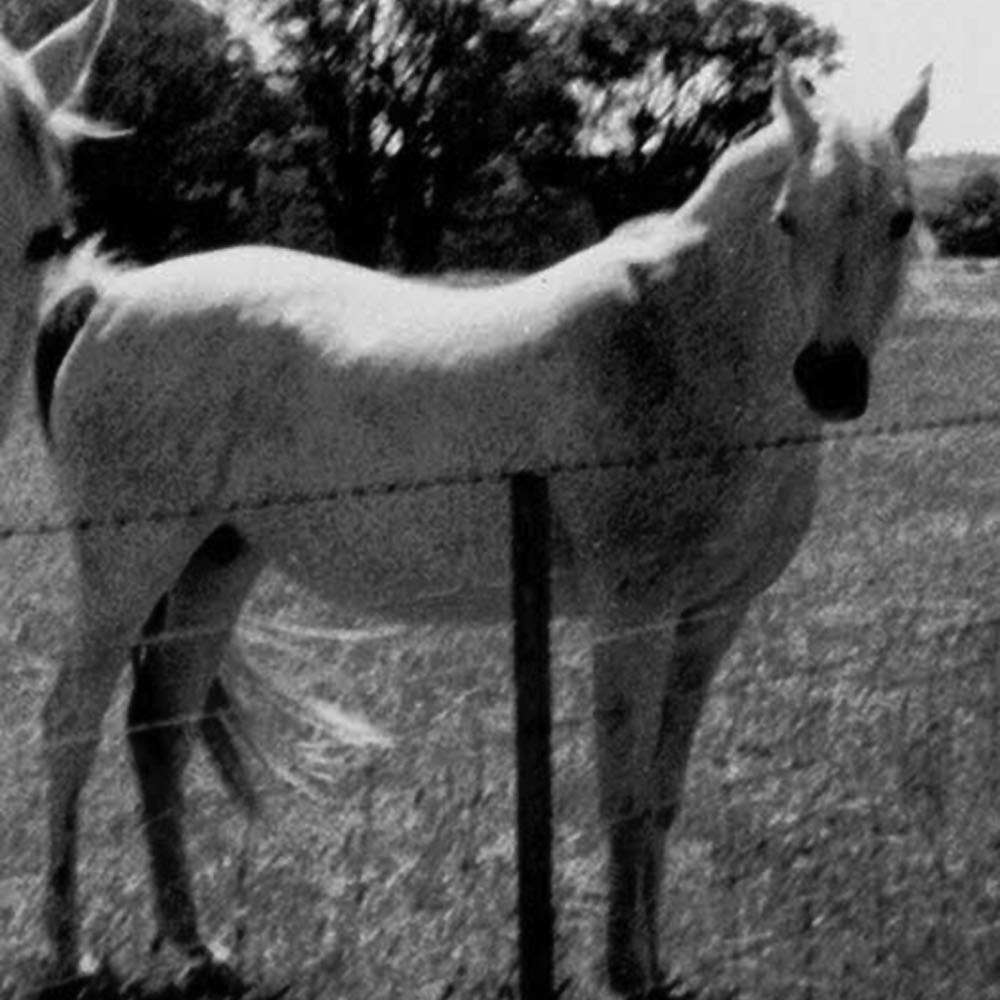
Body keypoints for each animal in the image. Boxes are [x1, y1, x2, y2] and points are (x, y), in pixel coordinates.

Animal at [28, 63, 929, 996]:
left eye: (899, 217)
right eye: (789, 218)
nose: (831, 377)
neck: (680, 342)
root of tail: (108, 298)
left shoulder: (711, 621)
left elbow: (662, 796)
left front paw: (653, 962)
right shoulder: (632, 614)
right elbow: (623, 790)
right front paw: (623, 968)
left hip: (215, 564)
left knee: (159, 732)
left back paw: (196, 946)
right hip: (127, 568)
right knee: (71, 722)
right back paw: (70, 950)